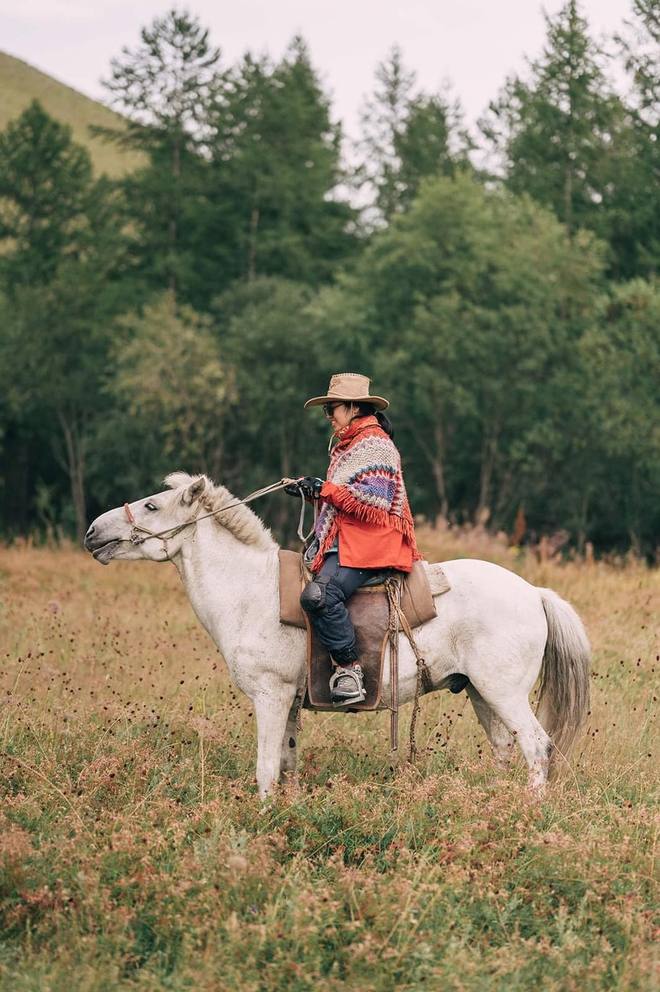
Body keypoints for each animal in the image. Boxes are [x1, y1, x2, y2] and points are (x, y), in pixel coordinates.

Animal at [85, 472, 592, 800]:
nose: (92, 531)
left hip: (502, 692)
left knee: (536, 746)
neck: (251, 591)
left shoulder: (270, 696)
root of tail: (534, 593)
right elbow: (286, 765)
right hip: (481, 693)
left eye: (152, 505)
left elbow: (266, 770)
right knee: (507, 748)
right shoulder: (290, 703)